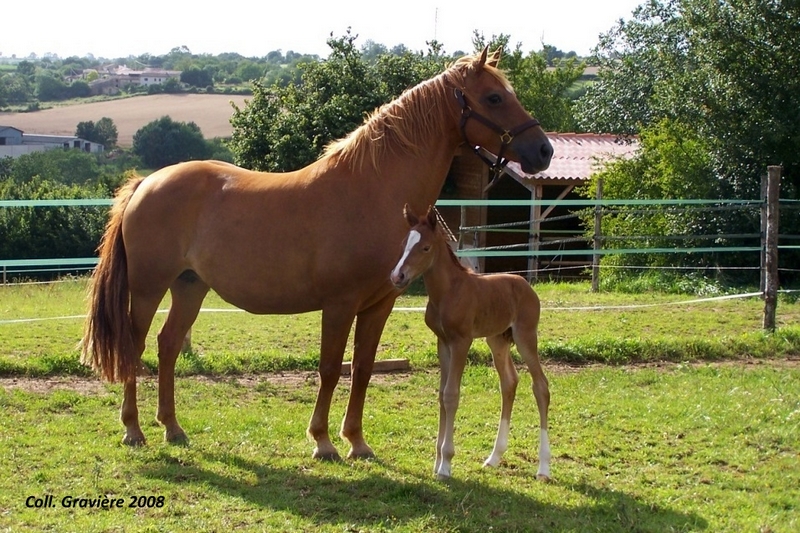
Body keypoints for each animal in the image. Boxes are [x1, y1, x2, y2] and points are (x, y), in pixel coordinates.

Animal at [390, 204, 552, 478]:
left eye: (425, 248)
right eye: (403, 244)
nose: (397, 276)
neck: (448, 292)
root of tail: (526, 285)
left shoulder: (461, 342)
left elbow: (451, 395)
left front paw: (446, 463)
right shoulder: (443, 343)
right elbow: (441, 395)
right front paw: (437, 462)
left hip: (526, 336)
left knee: (540, 386)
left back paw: (543, 467)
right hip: (497, 340)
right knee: (509, 383)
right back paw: (494, 457)